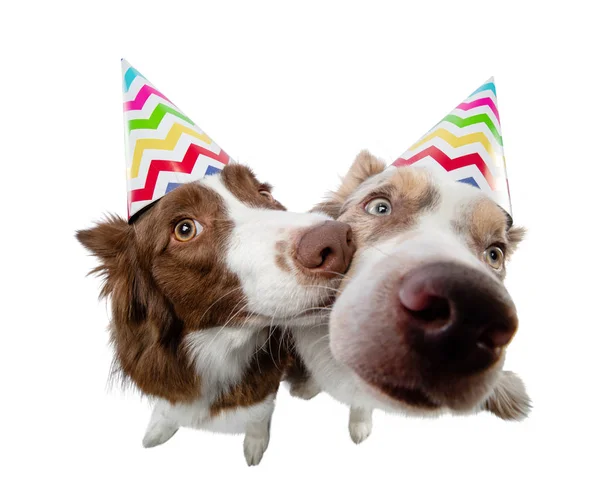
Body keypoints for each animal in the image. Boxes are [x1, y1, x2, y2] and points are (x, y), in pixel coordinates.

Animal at [75, 165, 356, 466]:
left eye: (264, 194)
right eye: (185, 229)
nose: (339, 241)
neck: (217, 344)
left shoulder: (265, 383)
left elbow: (259, 413)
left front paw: (255, 443)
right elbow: (167, 405)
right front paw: (160, 427)